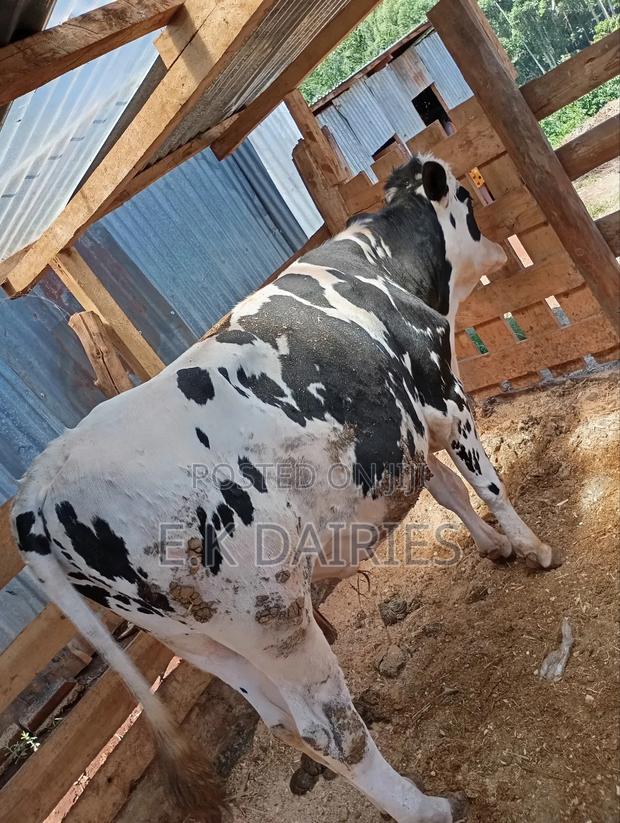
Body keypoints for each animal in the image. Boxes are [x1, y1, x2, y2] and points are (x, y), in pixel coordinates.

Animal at [12, 155, 559, 823]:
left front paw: (493, 546)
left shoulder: (390, 433)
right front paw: (532, 548)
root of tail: (41, 484)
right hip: (271, 616)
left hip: (196, 639)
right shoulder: (443, 396)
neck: (378, 265)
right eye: (462, 196)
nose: (498, 243)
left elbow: (450, 491)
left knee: (281, 721)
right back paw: (426, 808)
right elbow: (488, 482)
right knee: (329, 732)